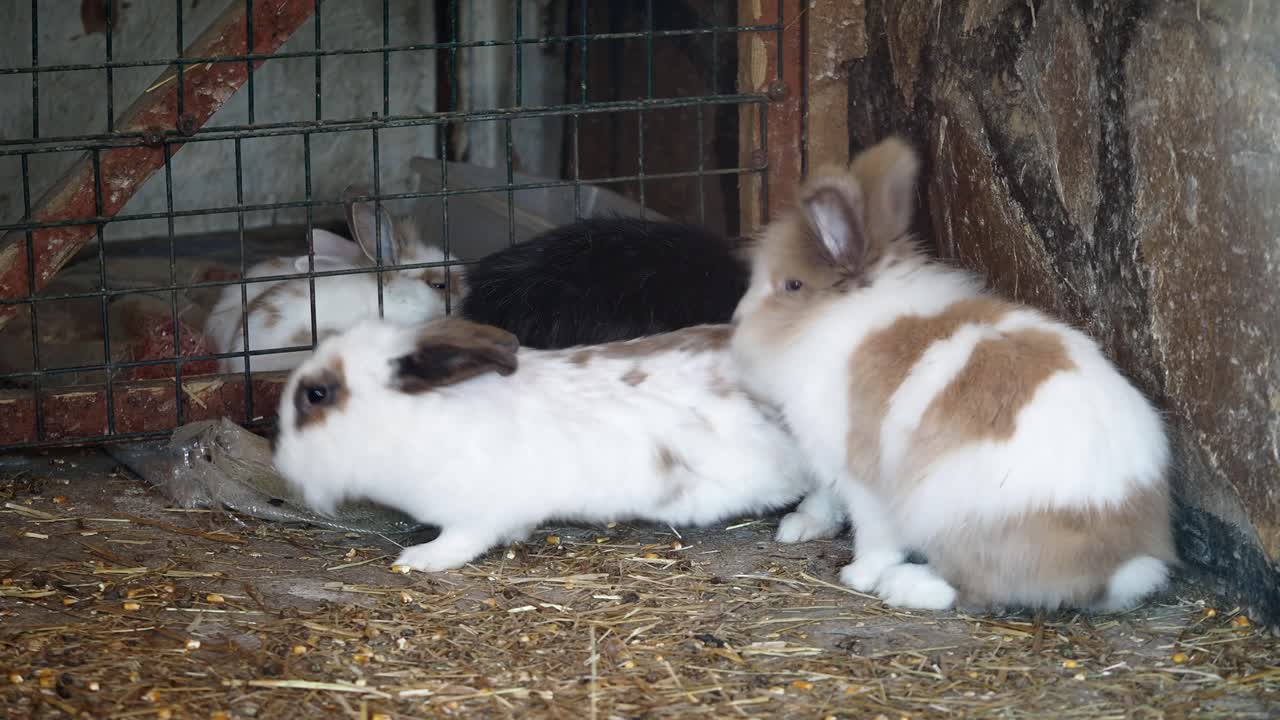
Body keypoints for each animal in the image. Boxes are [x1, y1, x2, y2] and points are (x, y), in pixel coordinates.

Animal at [269, 316, 845, 572]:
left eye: (317, 395)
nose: (280, 459)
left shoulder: (475, 512)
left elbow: (460, 542)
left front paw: (419, 559)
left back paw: (798, 527)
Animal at [727, 136, 1176, 613]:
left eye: (791, 285)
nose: (737, 320)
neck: (833, 313)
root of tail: (1120, 560)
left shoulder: (861, 471)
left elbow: (874, 532)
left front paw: (859, 575)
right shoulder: (830, 461)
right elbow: (825, 496)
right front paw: (800, 525)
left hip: (947, 513)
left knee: (973, 587)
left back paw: (904, 585)